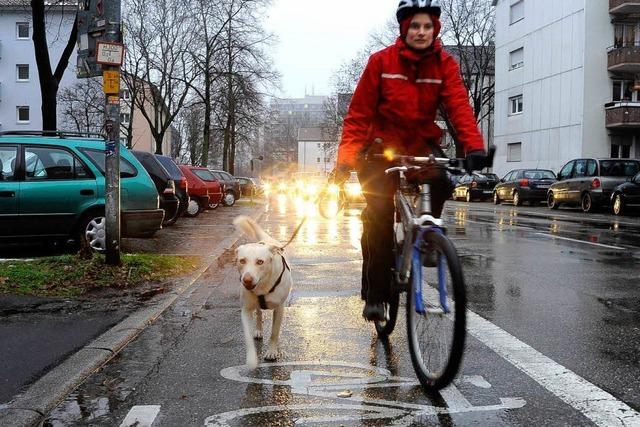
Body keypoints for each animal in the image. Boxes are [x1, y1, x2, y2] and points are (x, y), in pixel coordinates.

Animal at [232, 216, 292, 370]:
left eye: (260, 262)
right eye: (242, 260)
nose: (247, 280)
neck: (263, 284)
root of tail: (267, 240)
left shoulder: (279, 308)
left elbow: (274, 332)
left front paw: (272, 351)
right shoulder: (246, 310)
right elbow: (247, 336)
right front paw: (252, 359)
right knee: (259, 314)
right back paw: (258, 330)